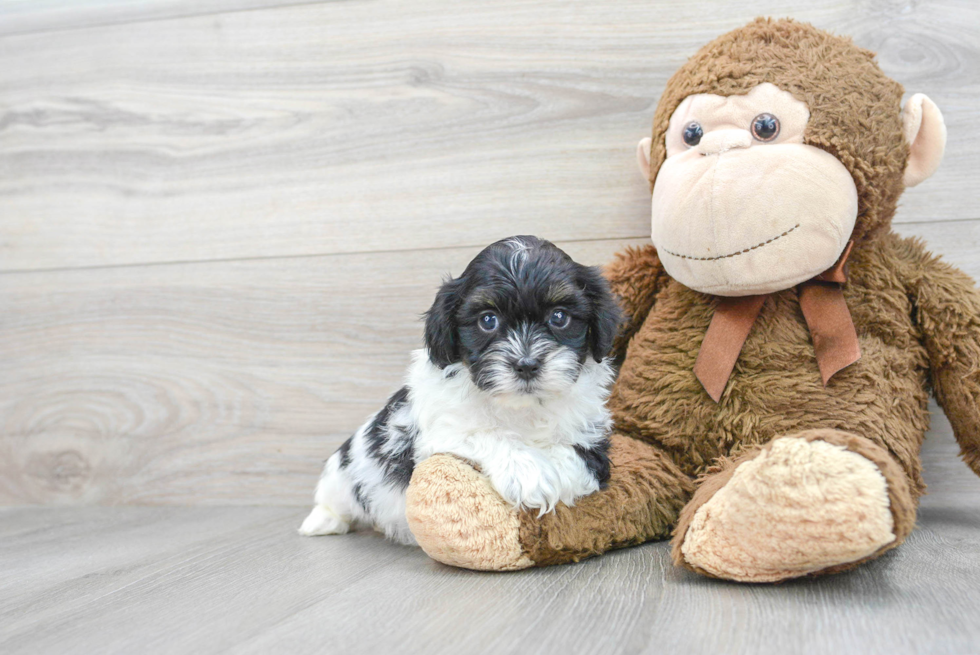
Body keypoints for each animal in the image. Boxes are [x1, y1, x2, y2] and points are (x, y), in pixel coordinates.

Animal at [298, 236, 620, 544]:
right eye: (488, 320)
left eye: (559, 317)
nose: (526, 364)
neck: (521, 408)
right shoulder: (440, 430)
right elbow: (483, 432)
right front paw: (528, 473)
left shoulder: (592, 438)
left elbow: (577, 458)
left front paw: (545, 474)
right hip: (342, 475)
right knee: (334, 499)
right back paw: (322, 521)